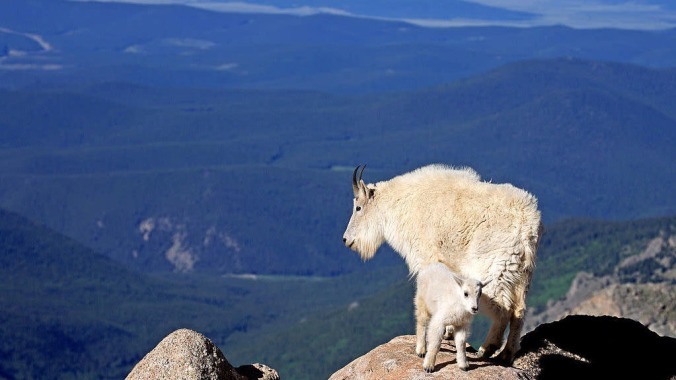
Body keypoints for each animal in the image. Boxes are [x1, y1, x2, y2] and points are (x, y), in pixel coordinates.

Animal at [344, 165, 544, 364]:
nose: (346, 240)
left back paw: (487, 348)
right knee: (519, 309)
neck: (402, 205)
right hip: (521, 272)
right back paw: (507, 353)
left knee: (504, 309)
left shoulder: (428, 258)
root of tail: (528, 228)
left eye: (358, 207)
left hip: (494, 270)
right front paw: (449, 331)